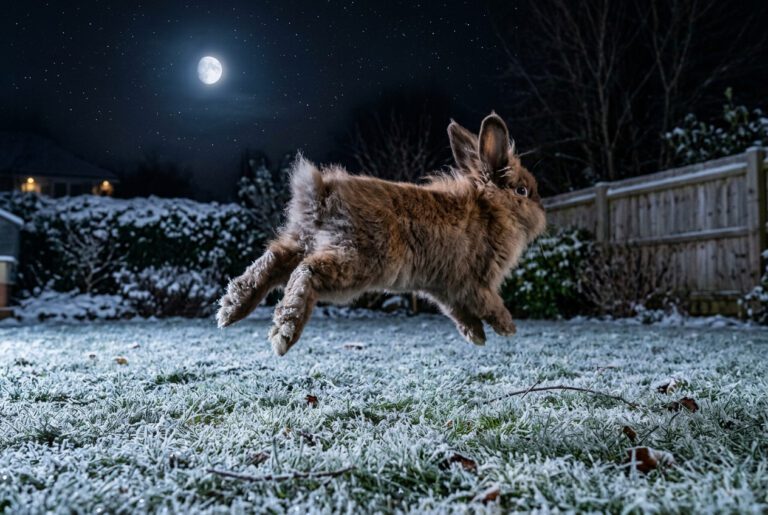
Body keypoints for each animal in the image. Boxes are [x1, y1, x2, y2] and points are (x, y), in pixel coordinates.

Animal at [216, 112, 546, 355]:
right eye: (522, 191)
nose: (543, 215)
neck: (491, 209)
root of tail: (323, 194)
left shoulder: (444, 288)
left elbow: (458, 313)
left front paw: (476, 336)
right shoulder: (475, 283)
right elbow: (488, 304)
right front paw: (507, 328)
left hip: (303, 240)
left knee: (273, 260)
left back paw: (231, 309)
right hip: (357, 262)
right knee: (306, 272)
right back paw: (284, 332)